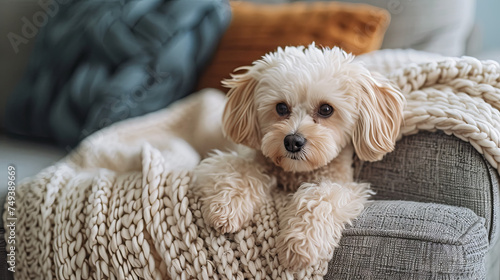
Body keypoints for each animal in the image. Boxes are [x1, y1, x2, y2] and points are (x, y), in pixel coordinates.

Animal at [193, 44, 404, 270]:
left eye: (326, 109)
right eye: (281, 107)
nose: (293, 141)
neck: (294, 174)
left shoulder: (343, 187)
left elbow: (319, 197)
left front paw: (301, 242)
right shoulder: (242, 159)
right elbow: (241, 169)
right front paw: (226, 207)